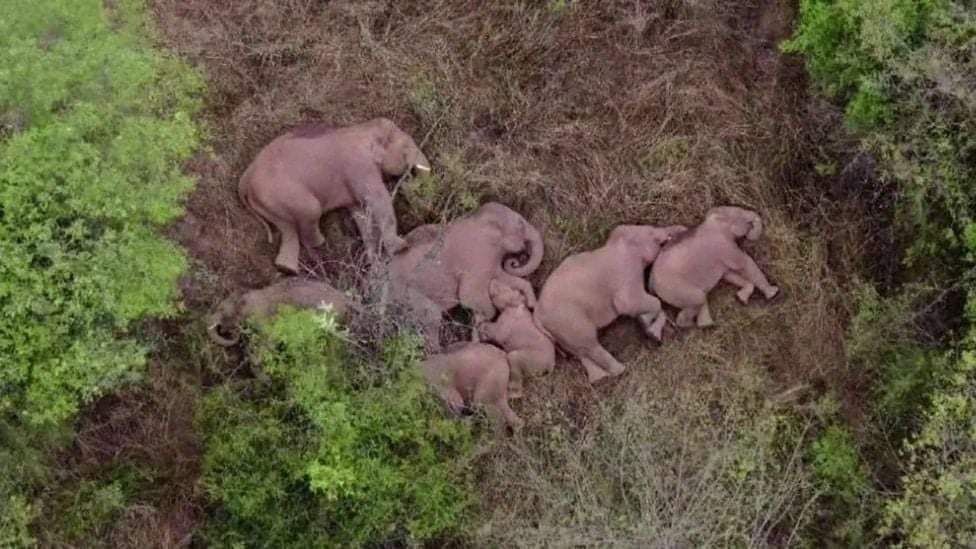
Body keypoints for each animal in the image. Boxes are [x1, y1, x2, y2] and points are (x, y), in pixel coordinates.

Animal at [238, 117, 431, 274]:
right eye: (406, 148)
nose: (408, 179)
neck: (363, 128)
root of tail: (244, 180)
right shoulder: (359, 165)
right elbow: (377, 200)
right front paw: (402, 248)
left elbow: (361, 215)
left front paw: (376, 266)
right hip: (283, 194)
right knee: (310, 213)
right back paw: (320, 248)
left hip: (269, 203)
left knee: (287, 229)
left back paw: (288, 269)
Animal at [388, 201, 544, 349]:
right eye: (521, 224)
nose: (514, 262)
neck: (478, 217)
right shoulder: (477, 257)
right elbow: (469, 296)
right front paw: (479, 329)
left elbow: (503, 277)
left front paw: (531, 304)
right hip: (408, 295)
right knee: (431, 318)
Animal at [533, 224, 687, 383]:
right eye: (651, 232)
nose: (683, 228)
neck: (617, 243)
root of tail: (537, 316)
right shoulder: (627, 271)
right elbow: (630, 303)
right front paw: (647, 326)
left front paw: (649, 329)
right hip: (569, 321)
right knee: (590, 345)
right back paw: (621, 370)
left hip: (562, 331)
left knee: (580, 351)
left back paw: (600, 378)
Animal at [648, 206, 779, 329]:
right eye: (739, 213)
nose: (752, 225)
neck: (715, 220)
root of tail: (651, 283)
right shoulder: (724, 245)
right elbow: (745, 263)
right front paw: (773, 293)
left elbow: (729, 274)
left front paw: (741, 298)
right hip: (675, 289)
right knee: (699, 299)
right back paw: (691, 326)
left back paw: (707, 325)